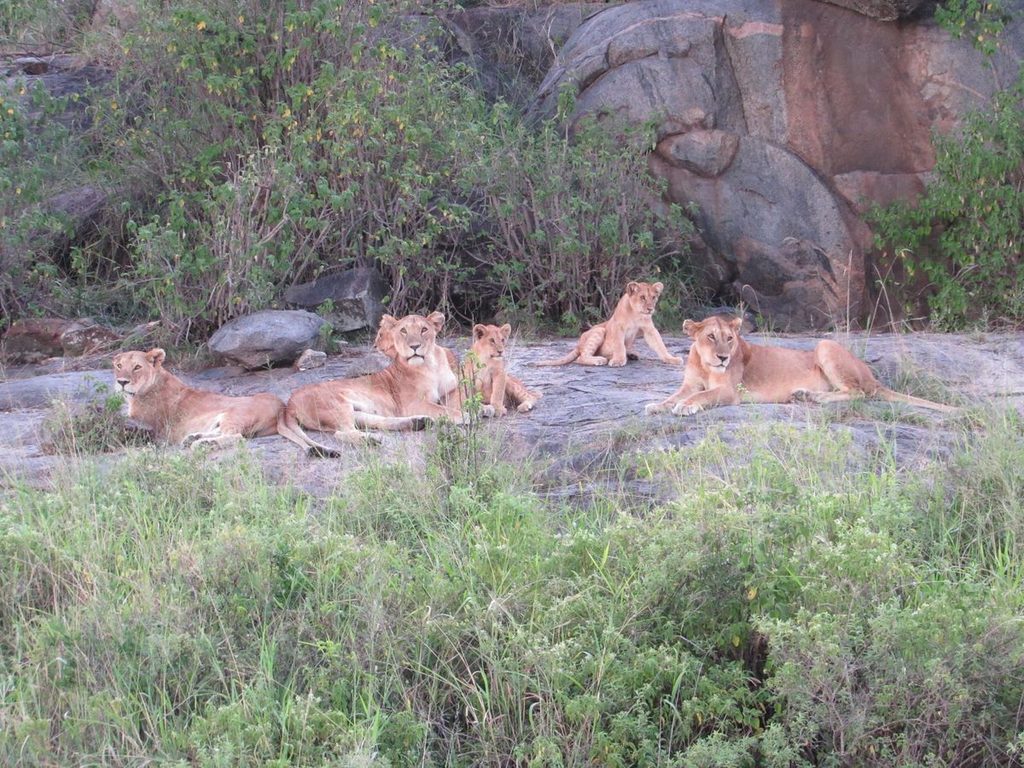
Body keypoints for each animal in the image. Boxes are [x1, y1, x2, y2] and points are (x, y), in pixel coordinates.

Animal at [112, 348, 336, 455]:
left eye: (137, 367)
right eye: (119, 365)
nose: (121, 382)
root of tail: (282, 407)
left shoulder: (145, 420)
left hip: (234, 413)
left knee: (237, 437)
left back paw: (202, 444)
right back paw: (193, 438)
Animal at [283, 312, 462, 444]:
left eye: (424, 329)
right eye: (403, 331)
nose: (415, 346)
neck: (431, 364)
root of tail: (289, 404)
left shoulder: (451, 390)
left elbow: (453, 404)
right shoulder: (413, 404)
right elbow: (445, 410)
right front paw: (465, 416)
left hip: (356, 411)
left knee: (377, 421)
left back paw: (417, 423)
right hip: (336, 405)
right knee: (342, 433)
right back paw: (372, 439)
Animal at [536, 281, 683, 367]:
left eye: (654, 297)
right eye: (642, 297)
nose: (650, 309)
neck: (636, 314)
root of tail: (578, 345)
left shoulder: (650, 330)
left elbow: (660, 345)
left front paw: (671, 359)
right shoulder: (617, 327)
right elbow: (619, 345)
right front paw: (618, 360)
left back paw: (631, 355)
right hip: (599, 330)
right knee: (581, 357)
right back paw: (599, 360)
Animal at [645, 314, 958, 416]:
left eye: (730, 339)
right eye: (711, 337)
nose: (723, 357)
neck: (706, 364)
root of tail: (873, 377)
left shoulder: (730, 392)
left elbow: (704, 395)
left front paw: (686, 407)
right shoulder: (690, 383)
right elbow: (674, 395)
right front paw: (657, 405)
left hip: (825, 345)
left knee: (858, 393)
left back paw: (814, 397)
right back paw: (803, 395)